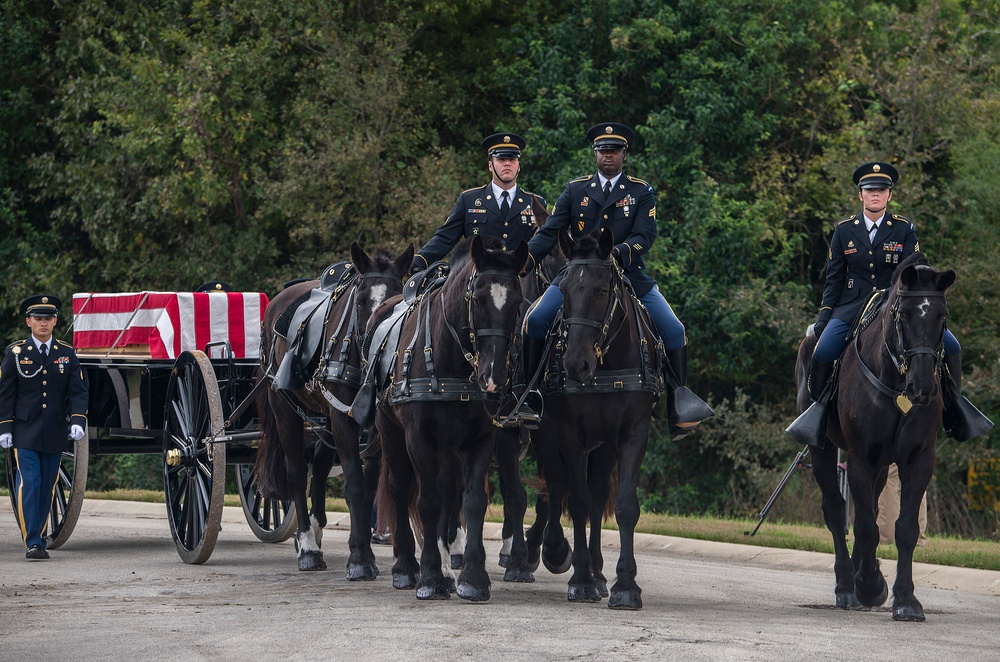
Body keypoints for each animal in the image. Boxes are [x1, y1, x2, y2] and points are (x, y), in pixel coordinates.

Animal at [258, 243, 414, 576]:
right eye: (361, 300)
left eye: (397, 297)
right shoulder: (344, 419)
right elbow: (354, 483)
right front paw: (360, 559)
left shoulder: (375, 428)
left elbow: (368, 489)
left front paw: (364, 549)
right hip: (285, 410)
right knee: (296, 470)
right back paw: (307, 546)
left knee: (317, 466)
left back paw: (315, 531)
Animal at [376, 236, 532, 604]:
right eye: (477, 298)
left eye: (517, 301)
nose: (494, 377)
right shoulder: (419, 439)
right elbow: (428, 502)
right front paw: (430, 576)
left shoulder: (482, 438)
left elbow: (471, 501)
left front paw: (472, 578)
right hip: (391, 432)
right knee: (400, 488)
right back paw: (406, 567)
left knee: (450, 498)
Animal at [528, 228, 660, 612]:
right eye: (564, 290)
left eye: (602, 290)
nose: (575, 364)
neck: (607, 363)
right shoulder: (569, 434)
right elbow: (578, 501)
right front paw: (581, 580)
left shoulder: (633, 433)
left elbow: (624, 506)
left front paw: (625, 585)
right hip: (548, 434)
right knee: (559, 485)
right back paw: (555, 551)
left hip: (603, 447)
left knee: (599, 494)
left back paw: (601, 573)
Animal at [796, 253, 952, 624]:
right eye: (903, 313)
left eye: (942, 316)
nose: (923, 386)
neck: (895, 381)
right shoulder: (859, 457)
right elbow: (866, 526)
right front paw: (869, 585)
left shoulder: (918, 459)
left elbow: (903, 527)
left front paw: (905, 599)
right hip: (824, 450)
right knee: (836, 511)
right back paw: (846, 585)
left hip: (882, 466)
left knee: (870, 508)